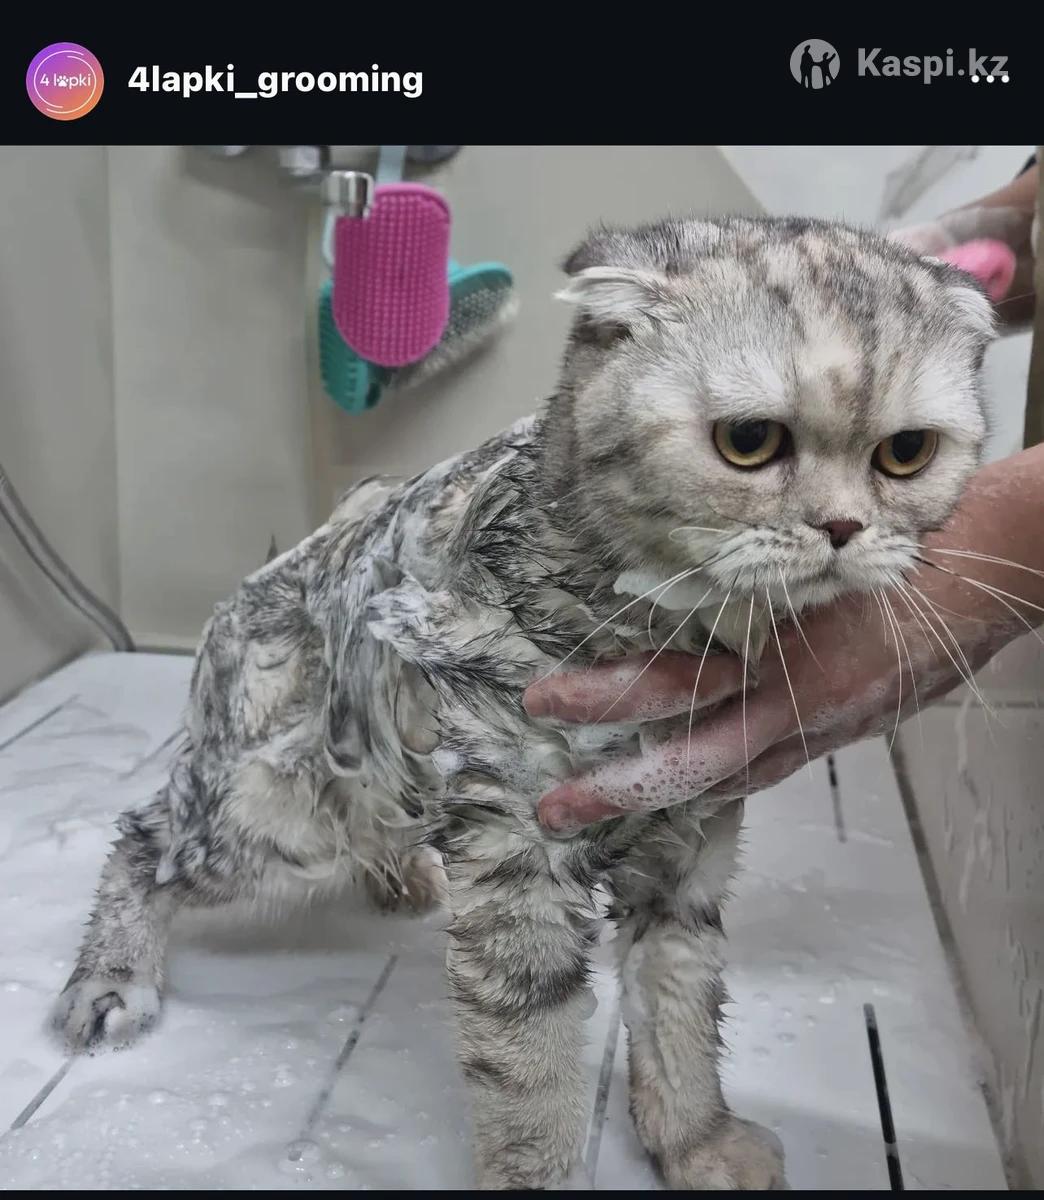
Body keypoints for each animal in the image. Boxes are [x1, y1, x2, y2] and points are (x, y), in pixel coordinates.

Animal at [51, 216, 993, 1190]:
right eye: (748, 441)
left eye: (906, 454)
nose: (844, 529)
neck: (675, 627)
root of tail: (288, 557)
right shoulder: (519, 864)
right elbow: (528, 1069)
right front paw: (545, 1167)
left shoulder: (689, 855)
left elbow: (681, 1014)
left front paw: (695, 1141)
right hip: (276, 810)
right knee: (144, 838)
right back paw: (112, 981)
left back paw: (398, 873)